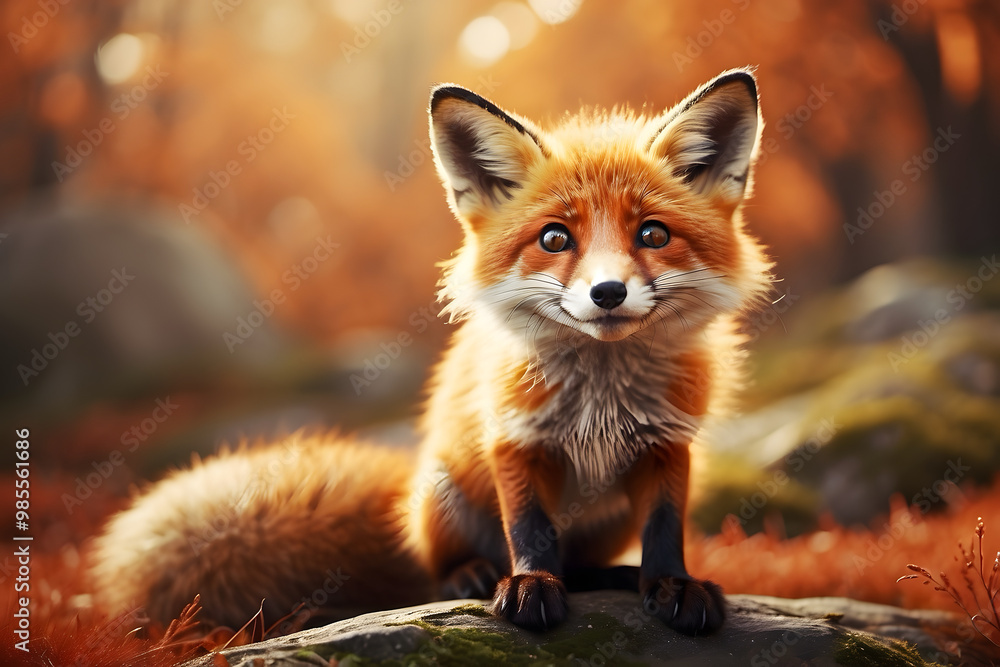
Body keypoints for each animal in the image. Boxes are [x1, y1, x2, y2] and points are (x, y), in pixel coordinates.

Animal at [90, 68, 771, 638]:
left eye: (652, 234)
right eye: (555, 238)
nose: (607, 293)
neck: (600, 399)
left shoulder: (667, 443)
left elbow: (665, 528)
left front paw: (673, 586)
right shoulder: (513, 439)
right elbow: (530, 529)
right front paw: (529, 585)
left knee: (584, 565)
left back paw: (611, 577)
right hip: (442, 497)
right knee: (442, 569)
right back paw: (473, 576)